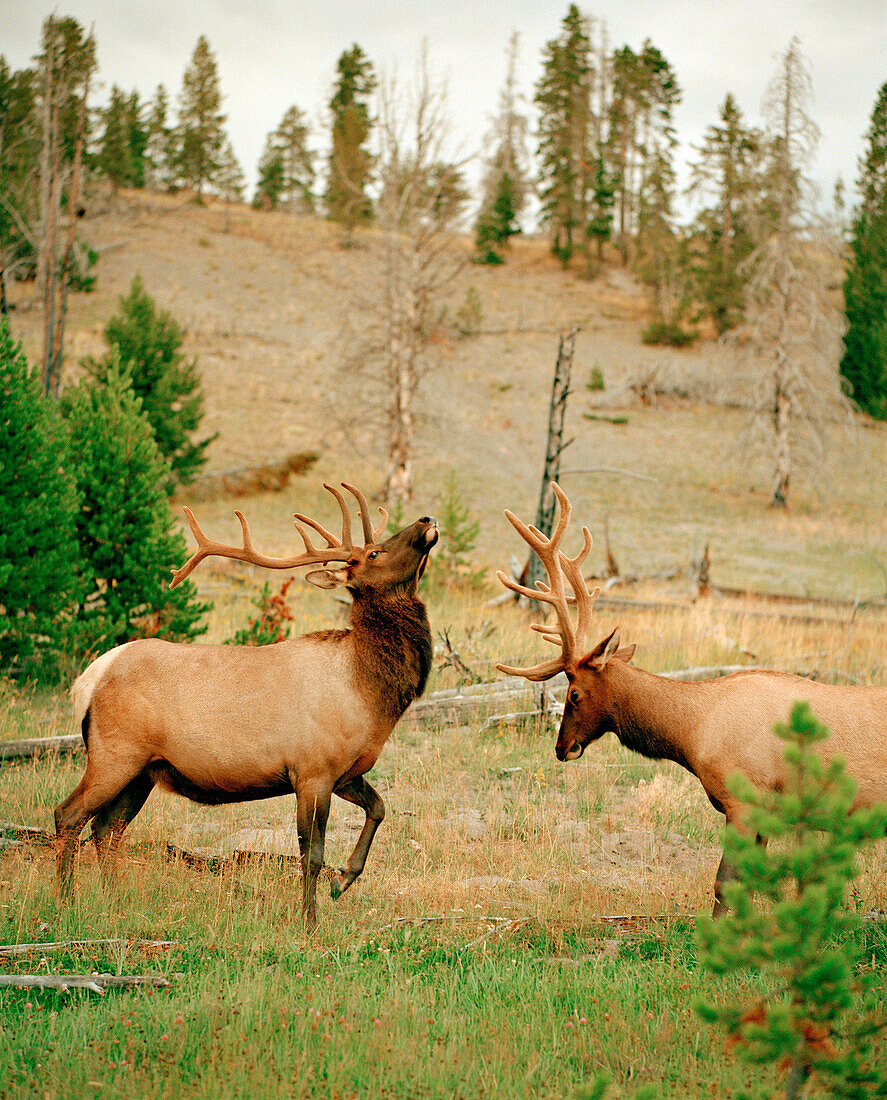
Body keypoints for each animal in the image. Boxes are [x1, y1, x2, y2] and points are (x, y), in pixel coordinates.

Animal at [57, 481, 440, 928]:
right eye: (374, 553)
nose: (427, 519)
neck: (368, 693)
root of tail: (87, 680)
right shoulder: (313, 770)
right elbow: (311, 855)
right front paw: (310, 922)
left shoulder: (346, 772)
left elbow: (379, 808)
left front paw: (342, 881)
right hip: (114, 754)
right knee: (69, 816)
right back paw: (65, 902)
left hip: (143, 770)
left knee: (106, 828)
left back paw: (112, 898)